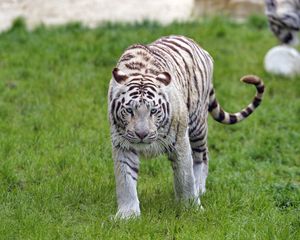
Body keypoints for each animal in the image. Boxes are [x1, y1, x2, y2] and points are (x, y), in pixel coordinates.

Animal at [108, 35, 264, 218]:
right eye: (129, 110)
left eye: (153, 111)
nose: (142, 134)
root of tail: (196, 44)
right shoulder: (122, 144)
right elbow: (125, 180)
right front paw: (128, 215)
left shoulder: (180, 140)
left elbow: (185, 176)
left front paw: (192, 207)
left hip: (197, 124)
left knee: (202, 155)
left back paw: (199, 188)